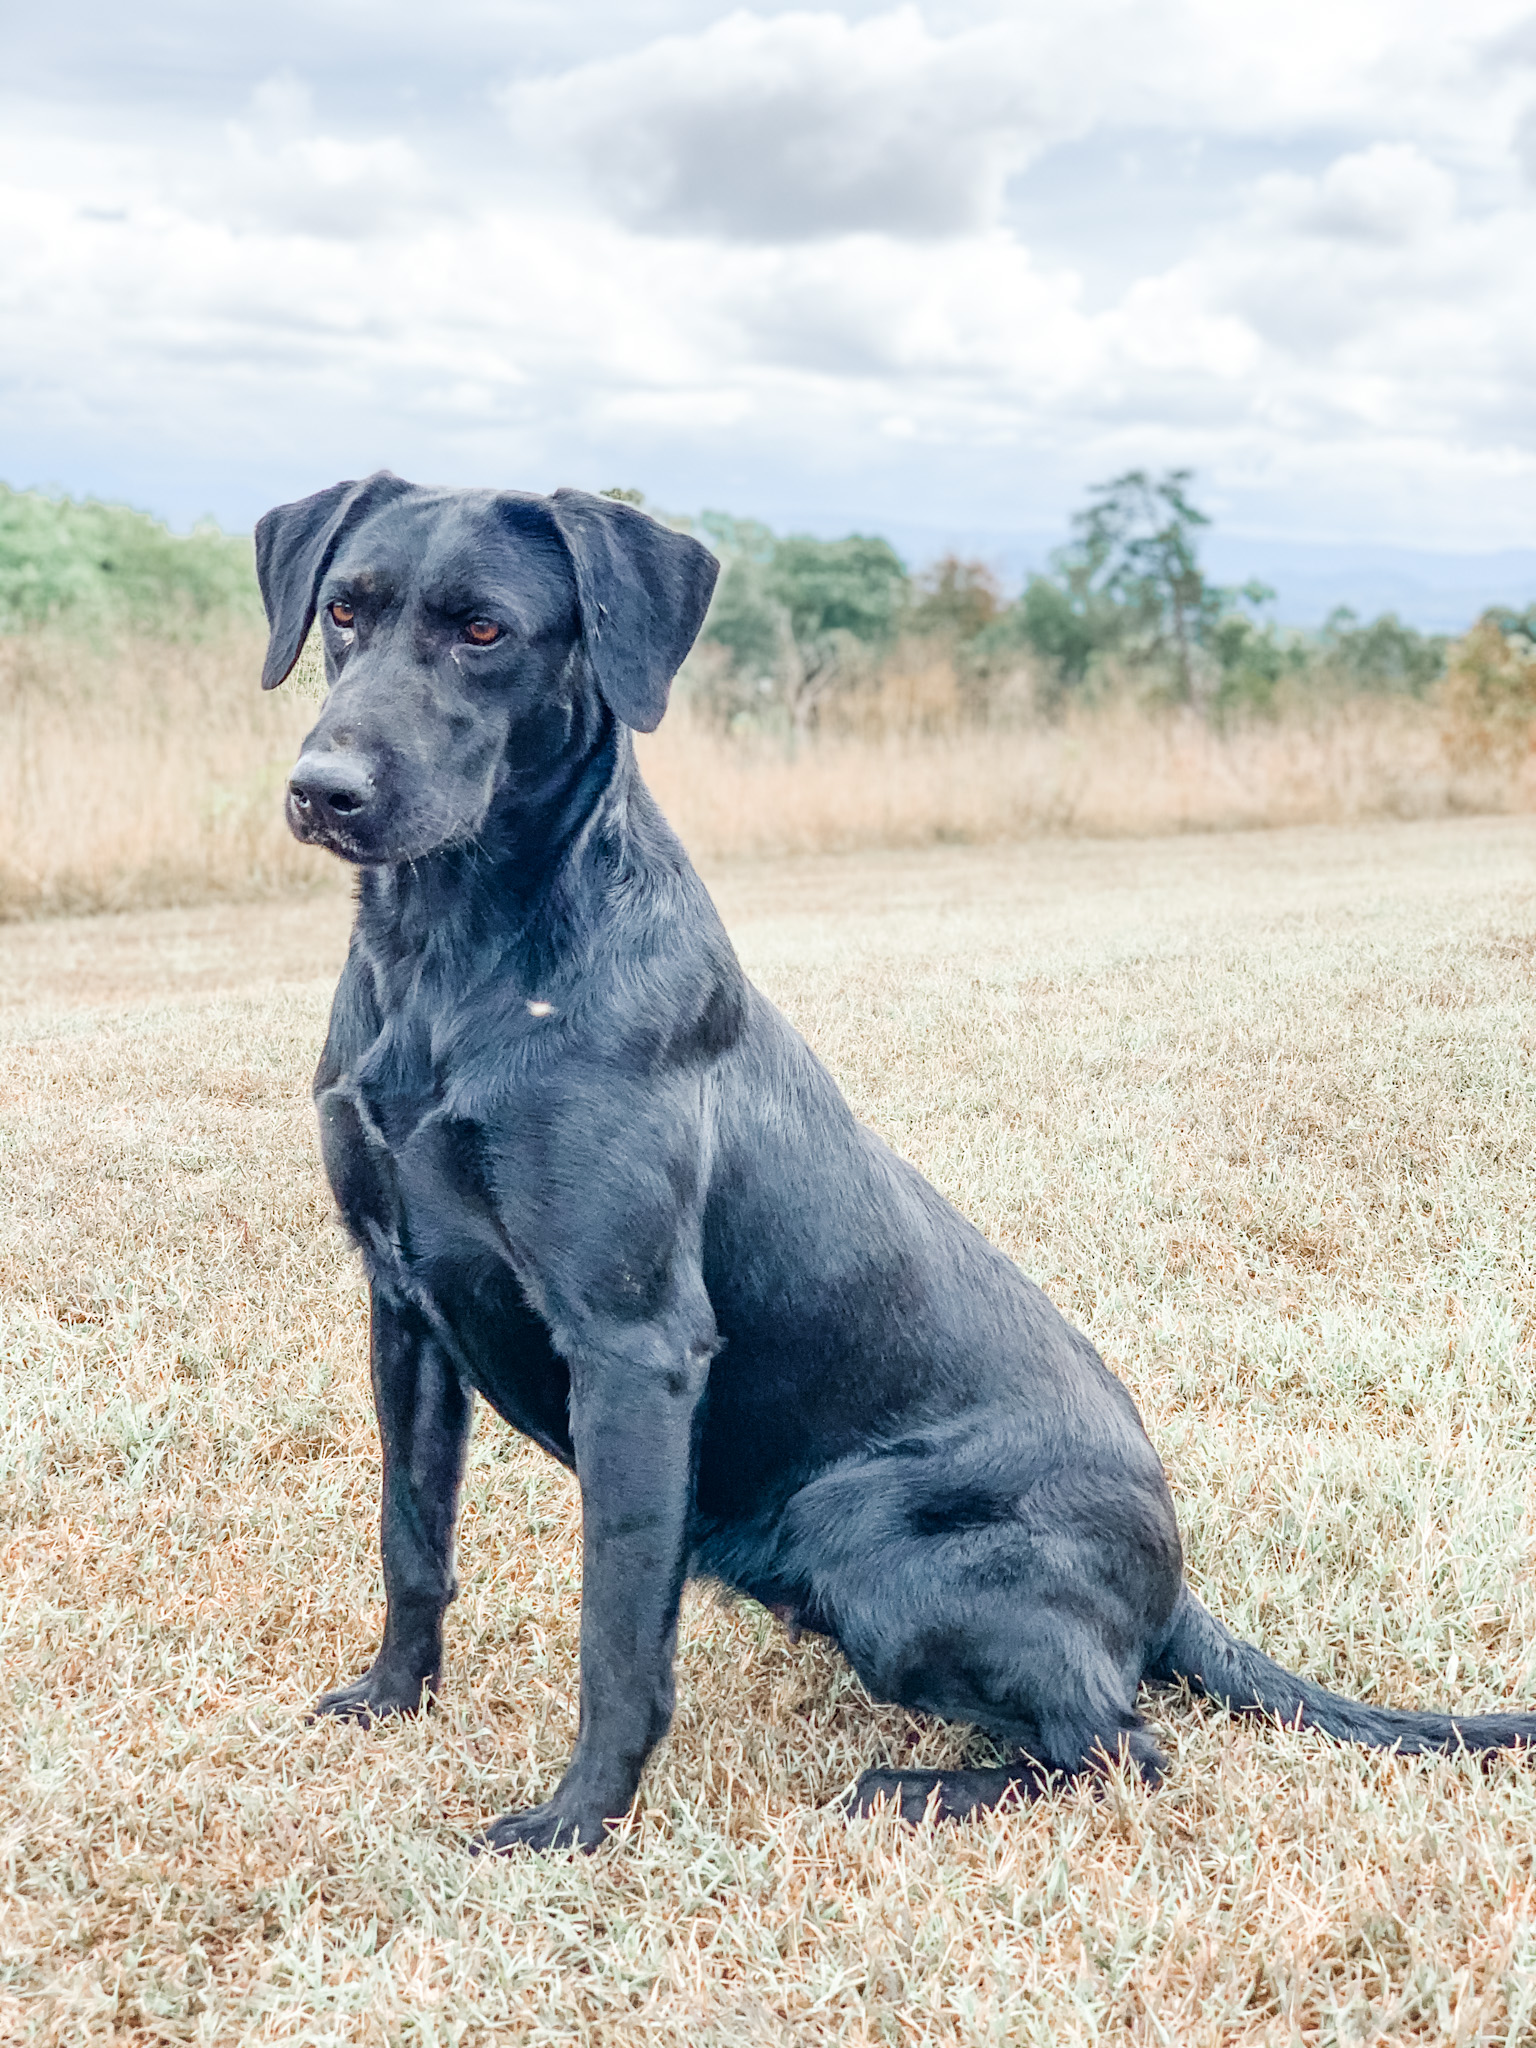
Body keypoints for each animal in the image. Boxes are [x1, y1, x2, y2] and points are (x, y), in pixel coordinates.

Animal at [259, 471, 1531, 1851]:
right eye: (345, 611)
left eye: (485, 630)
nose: (322, 788)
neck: (451, 965)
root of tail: (1174, 1585)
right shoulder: (403, 1305)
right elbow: (412, 1537)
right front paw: (393, 1698)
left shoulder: (634, 1345)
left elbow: (619, 1626)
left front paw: (578, 1820)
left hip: (863, 1523)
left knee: (1122, 1745)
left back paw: (906, 1788)